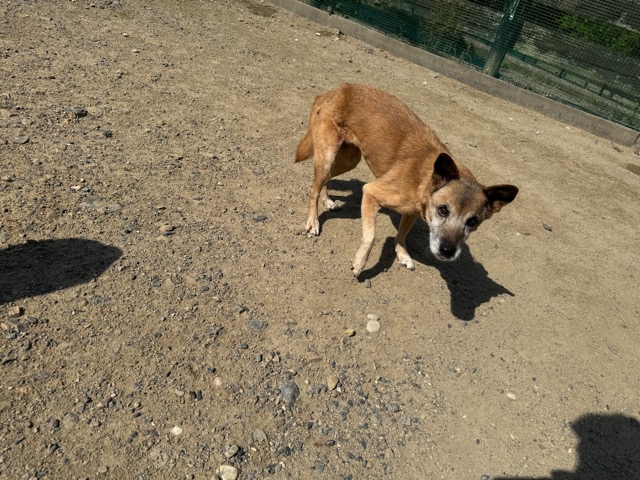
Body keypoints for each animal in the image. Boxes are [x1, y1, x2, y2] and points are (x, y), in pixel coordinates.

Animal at [295, 84, 518, 277]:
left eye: (472, 221)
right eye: (443, 210)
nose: (447, 251)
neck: (424, 179)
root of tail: (334, 91)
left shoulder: (412, 212)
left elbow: (401, 235)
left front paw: (402, 255)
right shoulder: (371, 192)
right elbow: (371, 236)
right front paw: (359, 263)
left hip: (349, 160)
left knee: (323, 181)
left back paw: (328, 201)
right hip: (328, 156)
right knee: (314, 188)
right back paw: (313, 221)